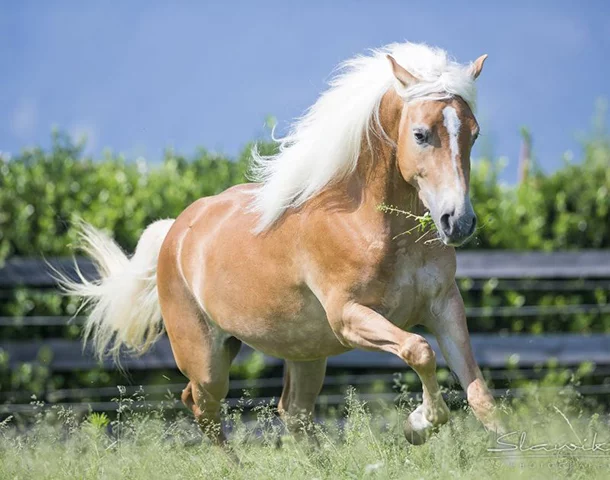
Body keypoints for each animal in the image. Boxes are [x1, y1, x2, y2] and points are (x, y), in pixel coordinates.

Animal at [60, 41, 504, 446]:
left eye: (474, 134)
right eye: (421, 134)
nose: (458, 222)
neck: (368, 224)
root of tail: (176, 232)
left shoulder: (444, 306)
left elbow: (481, 397)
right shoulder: (350, 319)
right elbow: (419, 350)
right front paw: (418, 424)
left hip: (306, 350)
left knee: (293, 413)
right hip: (206, 359)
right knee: (202, 407)